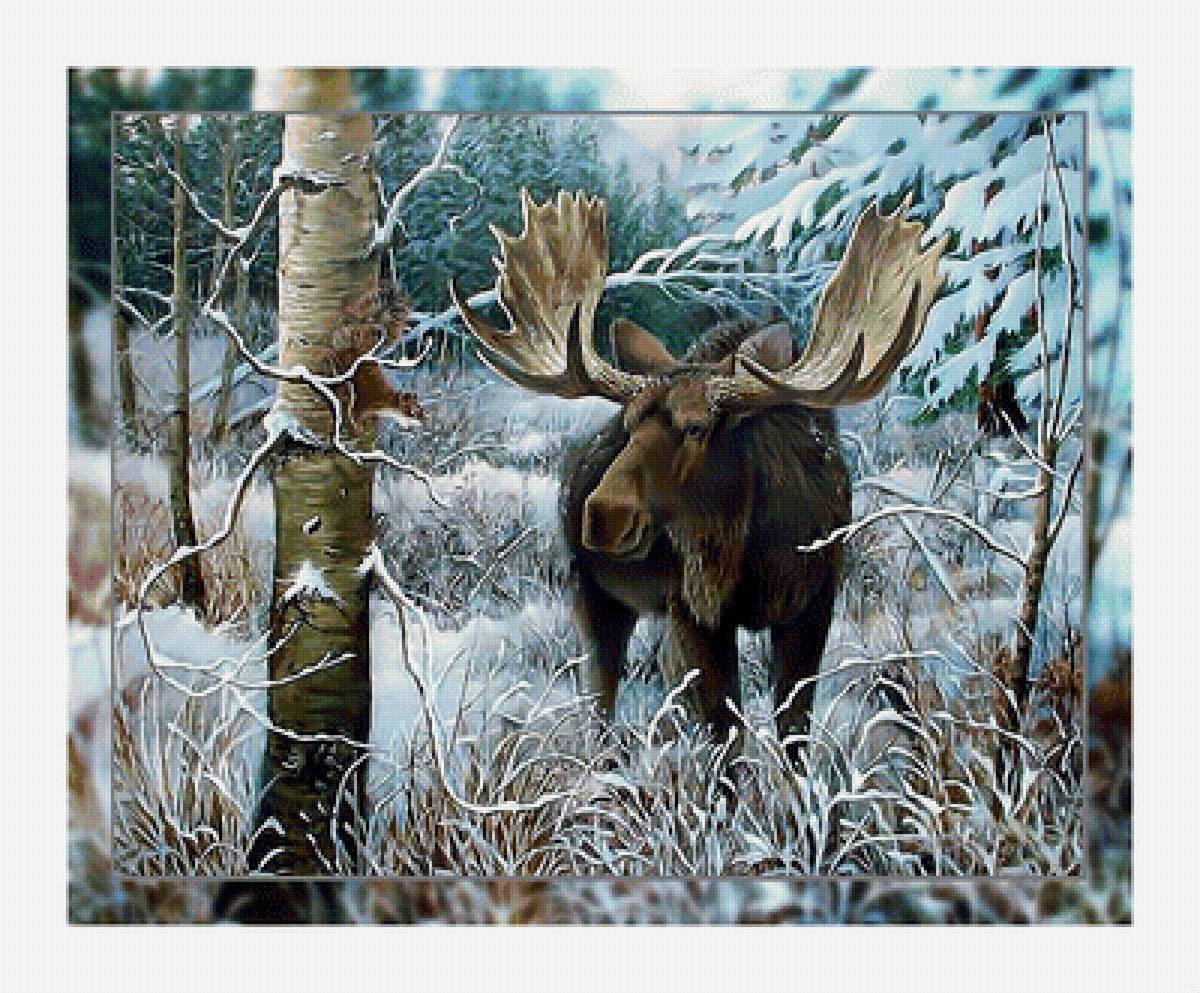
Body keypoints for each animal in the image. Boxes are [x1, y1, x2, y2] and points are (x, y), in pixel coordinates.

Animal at [450, 189, 948, 758]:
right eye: (629, 423)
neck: (753, 551)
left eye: (697, 428)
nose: (604, 515)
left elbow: (793, 730)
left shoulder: (814, 605)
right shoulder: (695, 614)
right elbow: (724, 737)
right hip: (595, 591)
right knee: (602, 690)